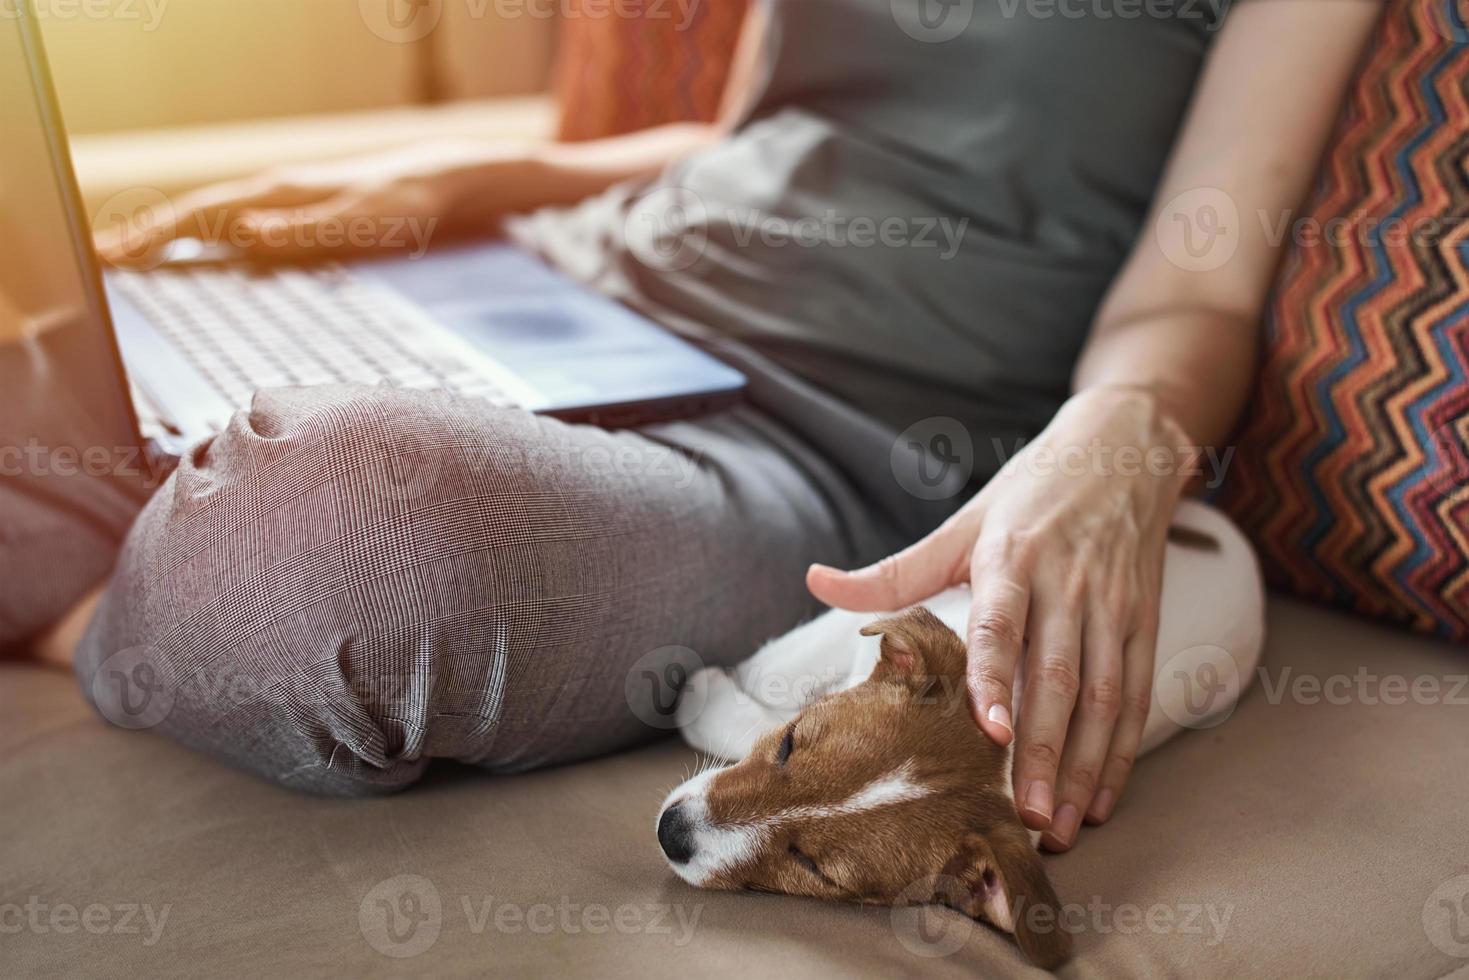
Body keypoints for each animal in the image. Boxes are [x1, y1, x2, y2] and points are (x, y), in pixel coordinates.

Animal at [658, 502, 1263, 969]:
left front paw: (705, 694)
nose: (670, 833)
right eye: (788, 744)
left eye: (813, 868)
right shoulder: (862, 619)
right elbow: (781, 667)